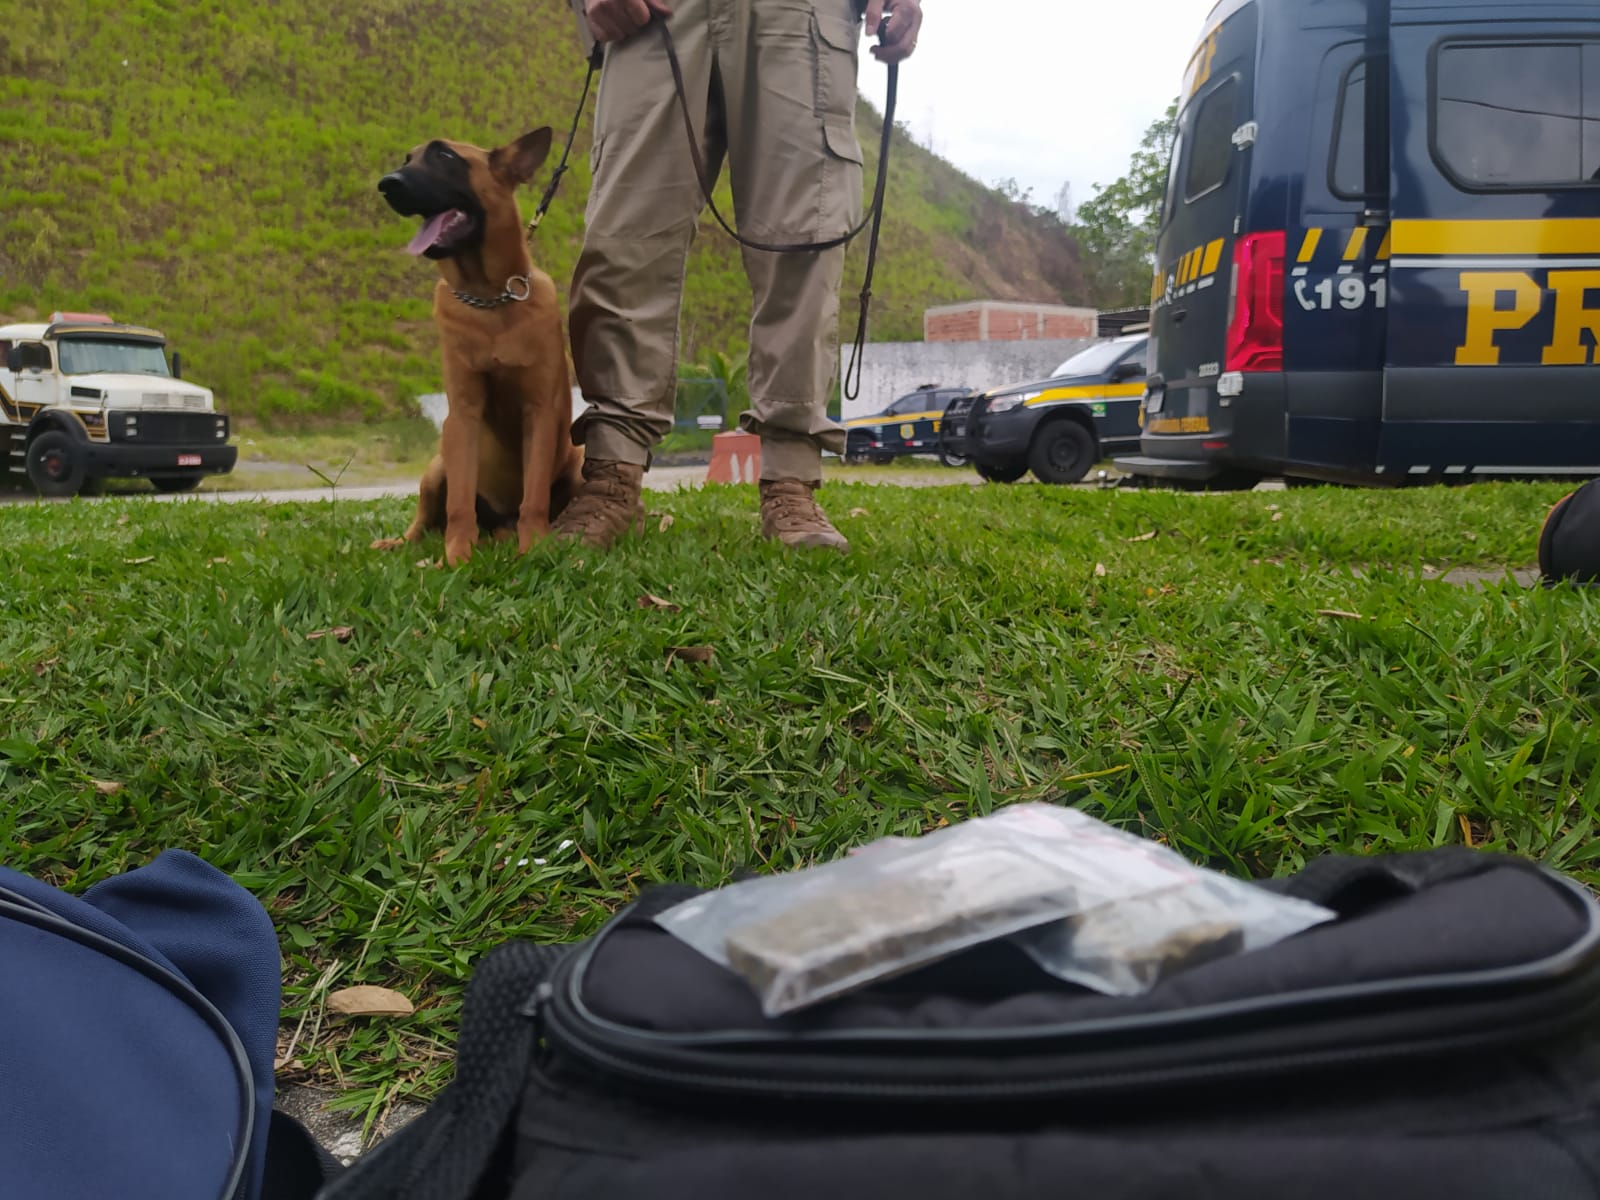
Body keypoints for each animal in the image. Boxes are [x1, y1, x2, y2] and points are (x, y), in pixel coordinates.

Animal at [372, 129, 582, 566]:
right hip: (437, 464)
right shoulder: (464, 414)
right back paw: (402, 543)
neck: (491, 301)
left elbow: (534, 496)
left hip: (577, 460)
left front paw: (533, 548)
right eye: (408, 159)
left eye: (446, 157)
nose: (386, 184)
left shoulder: (539, 412)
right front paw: (455, 556)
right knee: (424, 521)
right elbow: (460, 502)